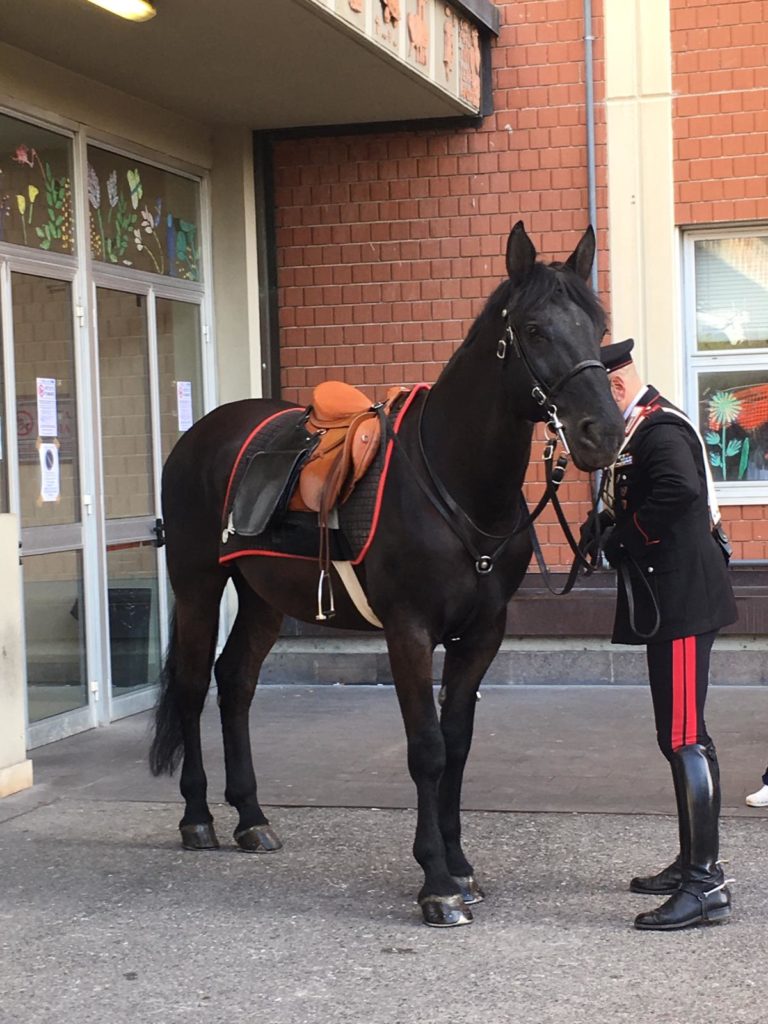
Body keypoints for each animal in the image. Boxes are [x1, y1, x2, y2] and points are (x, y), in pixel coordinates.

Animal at [148, 222, 626, 929]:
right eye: (535, 329)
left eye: (597, 326)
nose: (604, 433)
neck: (456, 485)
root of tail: (199, 435)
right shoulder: (409, 631)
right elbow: (426, 747)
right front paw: (437, 882)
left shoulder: (482, 634)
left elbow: (457, 743)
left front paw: (460, 863)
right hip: (198, 585)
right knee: (189, 686)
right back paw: (198, 816)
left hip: (264, 598)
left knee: (234, 684)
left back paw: (252, 818)